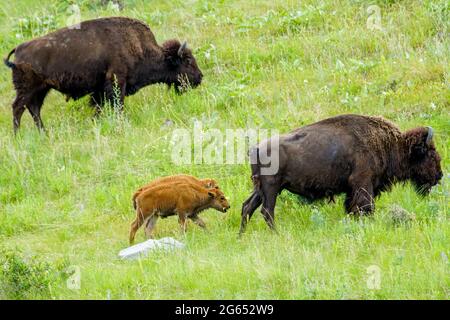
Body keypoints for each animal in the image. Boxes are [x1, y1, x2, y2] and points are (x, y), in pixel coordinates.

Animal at [3, 16, 204, 132]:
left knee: (34, 109)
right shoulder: (116, 82)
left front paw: (96, 122)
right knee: (18, 108)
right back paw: (18, 135)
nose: (200, 77)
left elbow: (98, 107)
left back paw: (43, 133)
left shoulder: (99, 89)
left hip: (41, 89)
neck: (139, 47)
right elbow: (117, 104)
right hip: (28, 89)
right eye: (187, 62)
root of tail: (19, 49)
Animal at [241, 114, 442, 234]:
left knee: (247, 207)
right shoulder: (363, 183)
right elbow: (366, 207)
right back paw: (276, 234)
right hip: (271, 188)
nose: (439, 176)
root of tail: (255, 149)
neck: (391, 144)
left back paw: (241, 236)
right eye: (430, 153)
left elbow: (352, 207)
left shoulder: (352, 189)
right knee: (267, 211)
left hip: (260, 189)